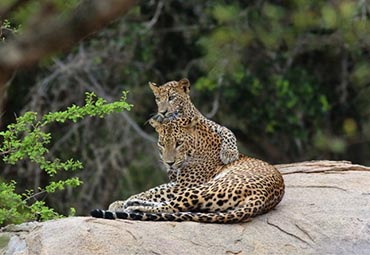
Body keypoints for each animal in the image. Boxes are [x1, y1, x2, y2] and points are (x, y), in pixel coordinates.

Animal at [90, 117, 286, 223]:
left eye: (178, 143)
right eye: (162, 144)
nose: (169, 163)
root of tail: (262, 198)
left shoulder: (185, 184)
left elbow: (156, 192)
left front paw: (123, 201)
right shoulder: (178, 182)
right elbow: (156, 189)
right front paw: (122, 201)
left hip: (206, 188)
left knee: (171, 206)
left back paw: (134, 207)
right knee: (176, 207)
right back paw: (132, 204)